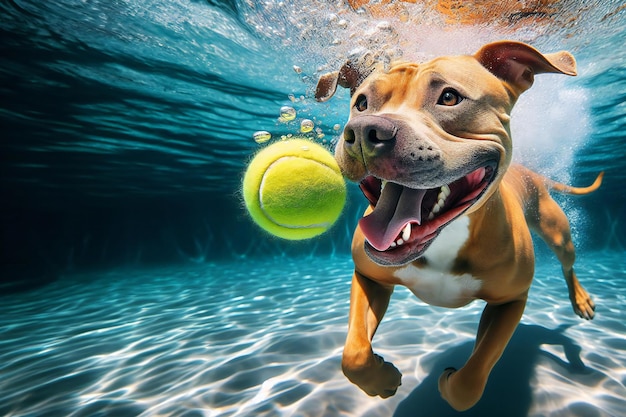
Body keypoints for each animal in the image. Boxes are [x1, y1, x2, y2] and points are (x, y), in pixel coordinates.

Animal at [314, 40, 604, 412]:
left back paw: (580, 300)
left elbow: (473, 376)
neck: (444, 238)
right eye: (362, 103)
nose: (365, 130)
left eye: (450, 97)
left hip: (558, 233)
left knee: (568, 264)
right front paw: (383, 378)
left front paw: (448, 382)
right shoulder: (369, 277)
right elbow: (353, 355)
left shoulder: (511, 301)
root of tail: (533, 173)